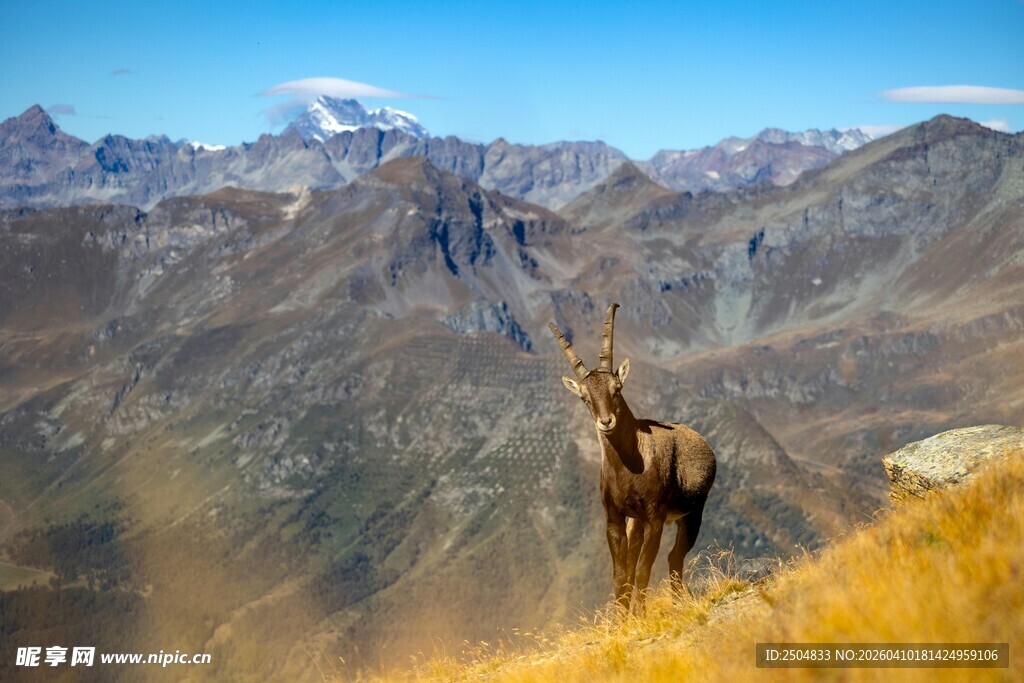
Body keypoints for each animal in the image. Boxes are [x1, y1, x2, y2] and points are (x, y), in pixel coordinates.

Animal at [550, 303, 716, 612]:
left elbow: (641, 571)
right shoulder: (615, 519)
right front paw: (621, 618)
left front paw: (640, 614)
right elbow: (621, 575)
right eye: (585, 398)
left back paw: (679, 601)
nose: (606, 421)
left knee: (674, 557)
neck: (628, 467)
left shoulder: (655, 517)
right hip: (636, 522)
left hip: (692, 513)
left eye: (616, 389)